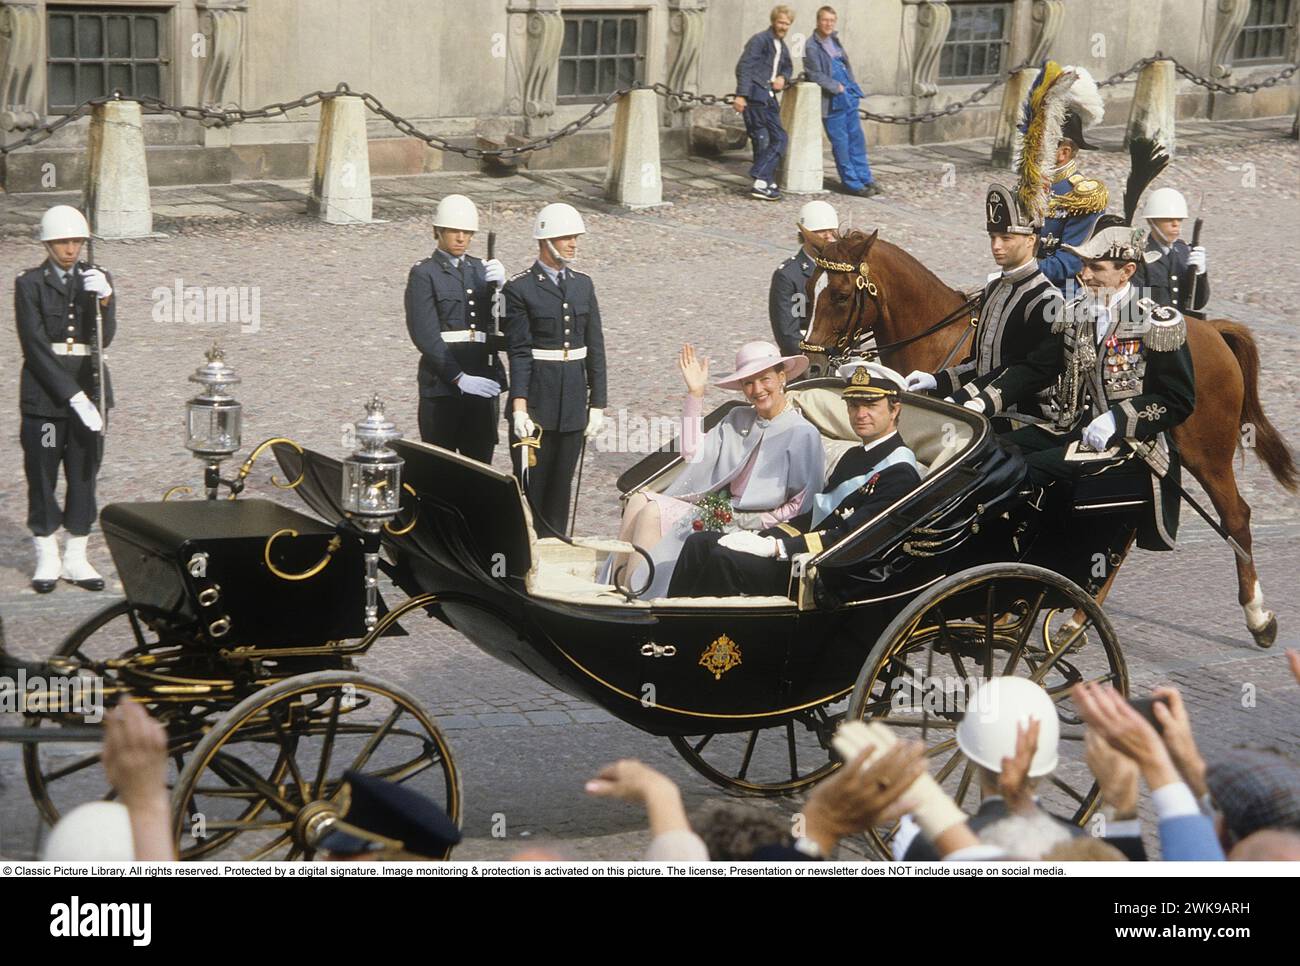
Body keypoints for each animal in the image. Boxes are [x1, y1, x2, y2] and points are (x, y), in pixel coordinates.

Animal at [795, 230, 1294, 644]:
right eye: (809, 287)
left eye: (840, 295)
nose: (812, 365)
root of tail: (1210, 328)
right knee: (1128, 527)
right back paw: (1075, 618)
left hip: (1205, 454)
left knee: (1236, 518)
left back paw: (1259, 617)